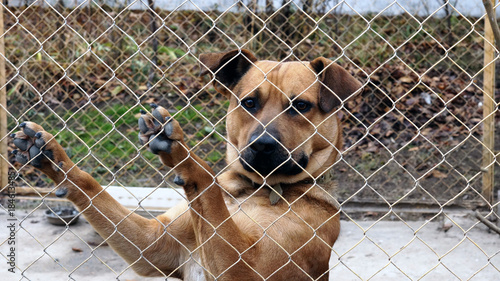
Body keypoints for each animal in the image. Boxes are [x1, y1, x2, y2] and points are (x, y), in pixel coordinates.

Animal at [11, 49, 362, 278]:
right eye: (249, 102)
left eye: (301, 106)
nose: (262, 145)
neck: (253, 188)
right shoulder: (154, 244)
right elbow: (92, 188)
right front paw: (51, 157)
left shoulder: (247, 266)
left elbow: (205, 178)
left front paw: (183, 155)